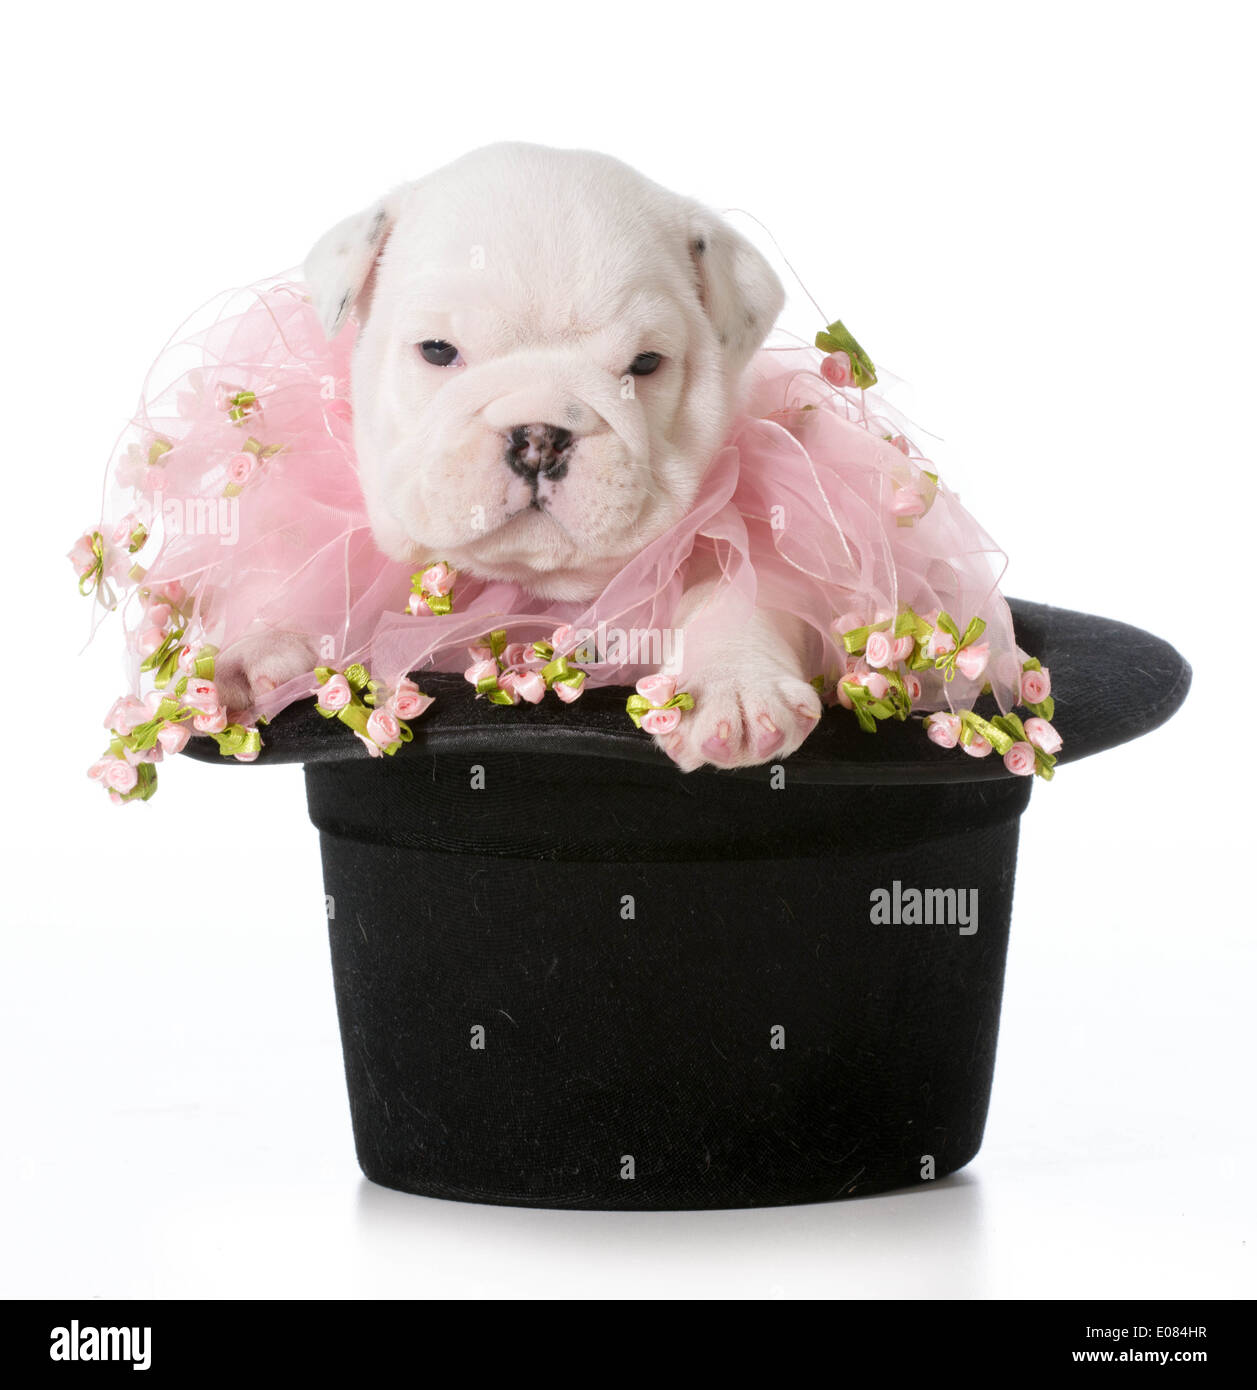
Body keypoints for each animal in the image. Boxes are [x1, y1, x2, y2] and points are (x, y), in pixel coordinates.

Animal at [225, 149, 817, 772]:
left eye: (646, 363)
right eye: (437, 350)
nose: (540, 435)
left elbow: (742, 581)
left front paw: (736, 683)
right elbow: (323, 567)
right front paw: (267, 641)